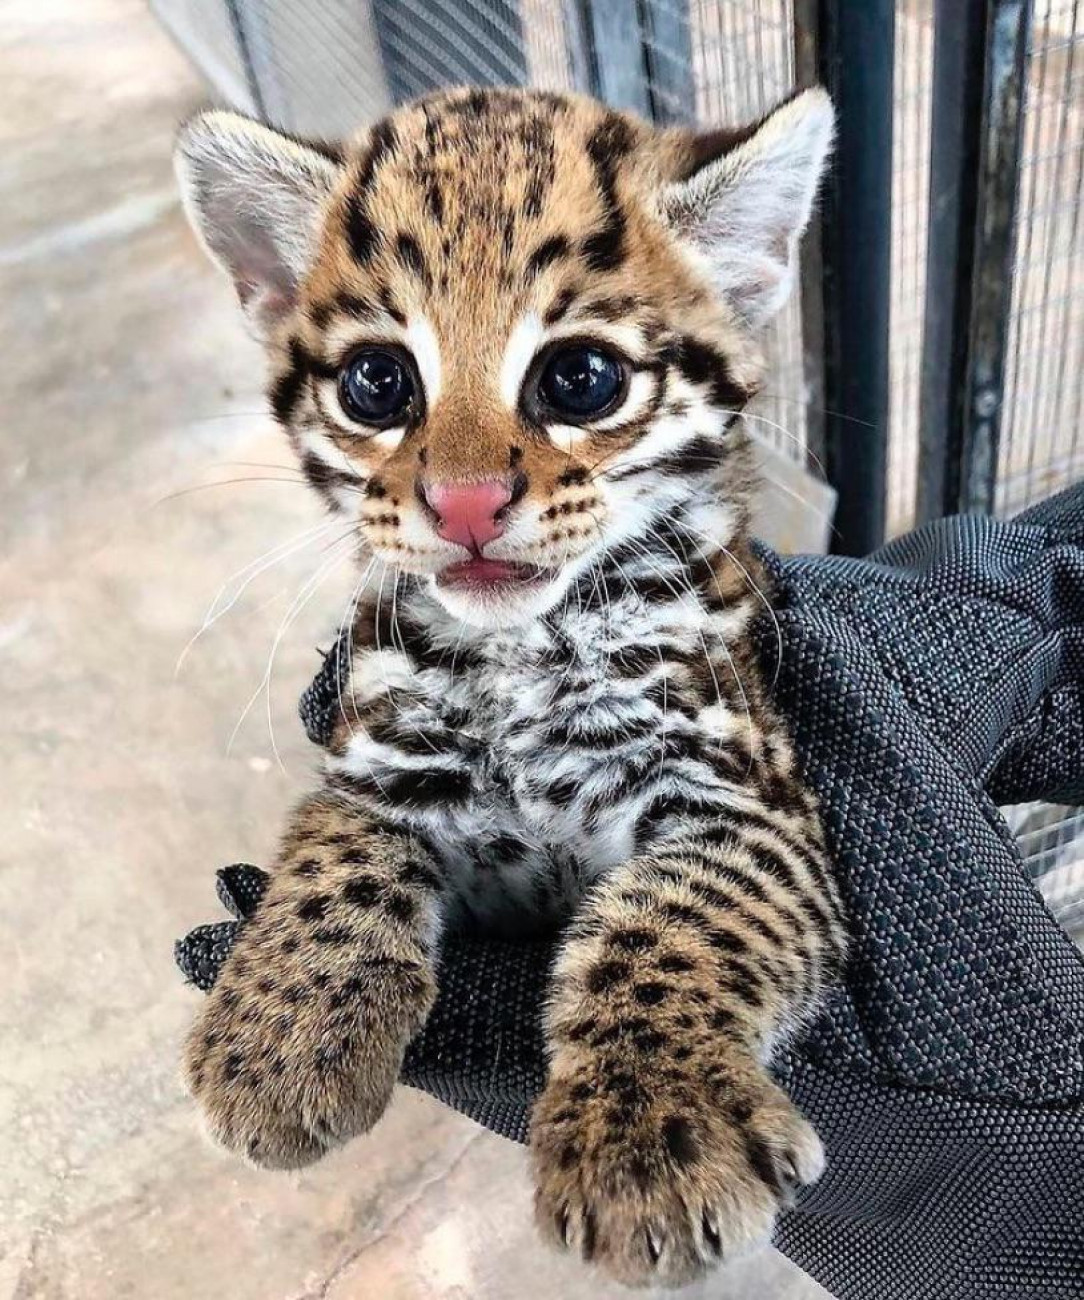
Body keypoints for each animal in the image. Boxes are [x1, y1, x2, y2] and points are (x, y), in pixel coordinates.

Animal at [175, 86, 842, 1284]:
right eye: (377, 383)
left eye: (580, 378)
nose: (466, 502)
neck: (524, 651)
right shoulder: (370, 756)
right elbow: (336, 858)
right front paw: (278, 1031)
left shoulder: (752, 800)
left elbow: (669, 921)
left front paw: (651, 1133)